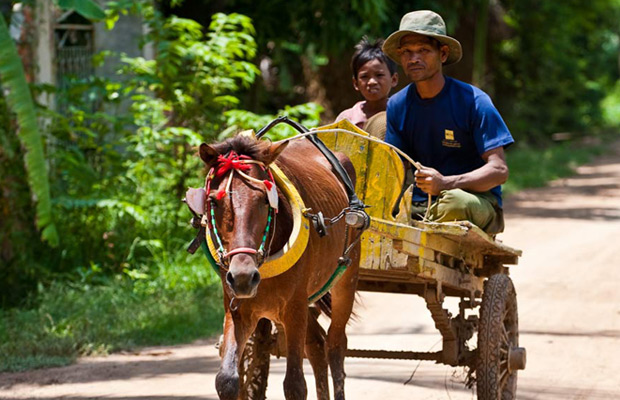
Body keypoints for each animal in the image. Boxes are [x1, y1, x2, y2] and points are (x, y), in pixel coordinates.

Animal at [196, 135, 360, 400]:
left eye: (265, 199)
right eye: (212, 201)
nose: (243, 277)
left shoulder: (294, 308)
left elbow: (294, 385)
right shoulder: (238, 310)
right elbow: (227, 380)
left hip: (346, 278)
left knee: (336, 345)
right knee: (317, 345)